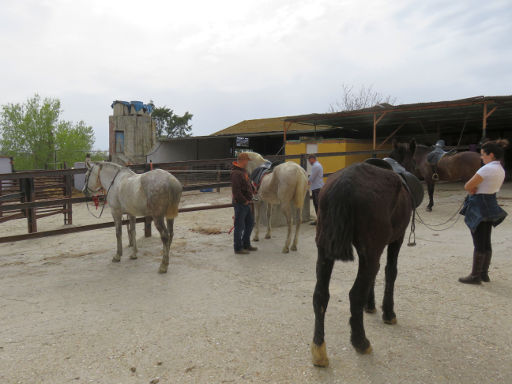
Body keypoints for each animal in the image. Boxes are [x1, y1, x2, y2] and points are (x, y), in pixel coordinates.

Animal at [310, 161, 418, 366]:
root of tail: (345, 183)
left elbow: (374, 276)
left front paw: (371, 305)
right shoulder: (397, 239)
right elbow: (390, 271)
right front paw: (388, 313)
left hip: (324, 249)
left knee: (320, 295)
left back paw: (319, 351)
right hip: (372, 248)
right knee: (355, 294)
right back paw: (361, 342)